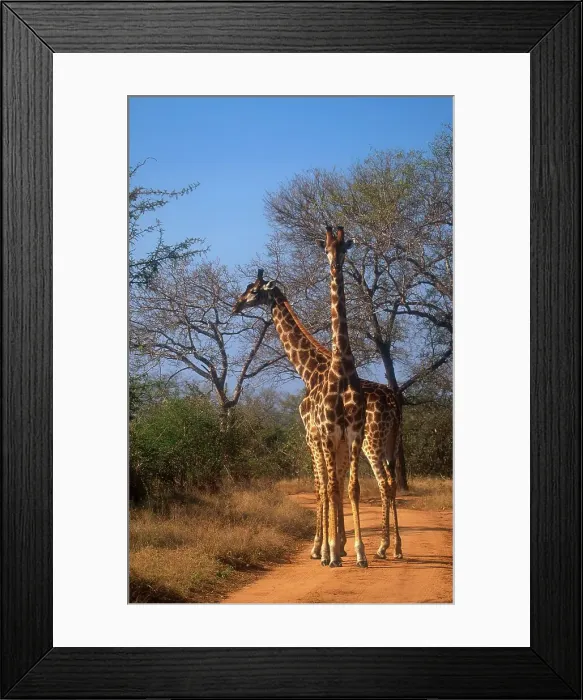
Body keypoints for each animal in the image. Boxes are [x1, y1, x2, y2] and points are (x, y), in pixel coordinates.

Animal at [233, 266, 403, 562]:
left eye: (253, 290)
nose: (236, 305)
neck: (310, 371)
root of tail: (394, 401)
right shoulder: (335, 440)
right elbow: (336, 485)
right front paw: (340, 545)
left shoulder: (312, 436)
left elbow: (321, 487)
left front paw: (320, 547)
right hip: (391, 440)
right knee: (390, 482)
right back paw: (395, 548)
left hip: (372, 442)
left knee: (383, 483)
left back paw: (382, 546)